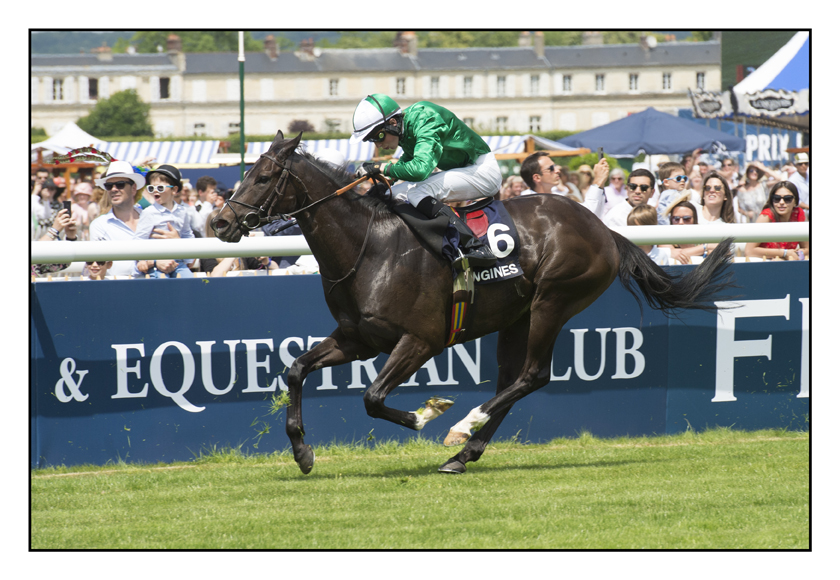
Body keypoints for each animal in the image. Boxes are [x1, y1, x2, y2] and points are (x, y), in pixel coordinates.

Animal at [212, 133, 736, 476]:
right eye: (244, 172)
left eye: (262, 176)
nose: (220, 222)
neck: (370, 246)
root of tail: (605, 230)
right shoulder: (357, 338)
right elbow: (297, 370)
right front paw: (303, 452)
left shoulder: (420, 340)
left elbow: (373, 398)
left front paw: (427, 413)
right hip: (516, 318)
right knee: (512, 382)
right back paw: (462, 454)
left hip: (553, 301)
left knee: (532, 376)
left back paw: (463, 428)